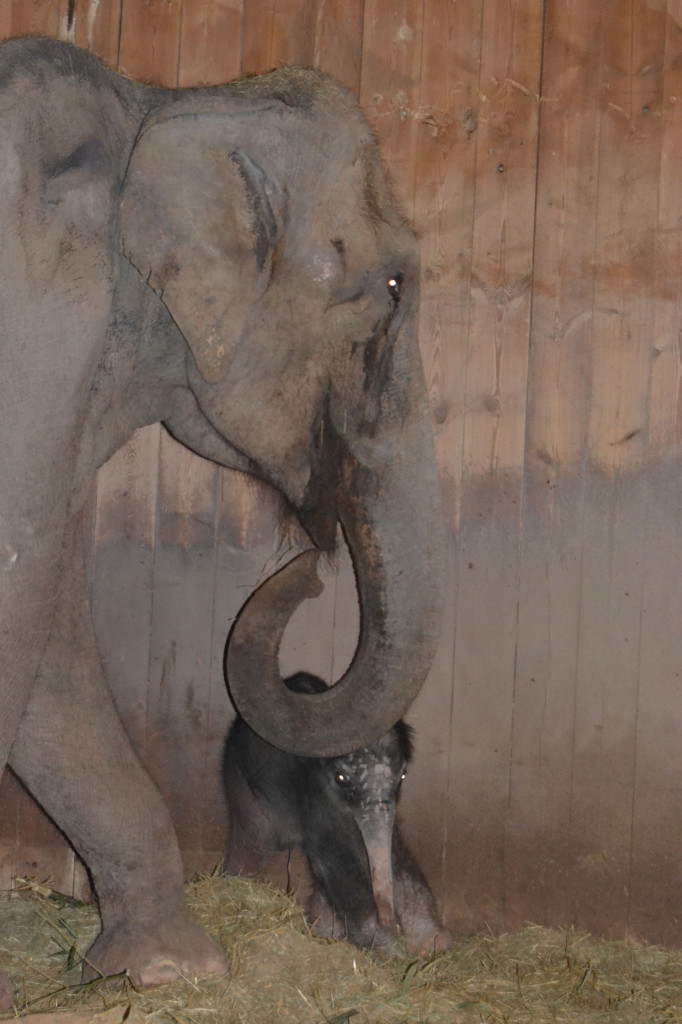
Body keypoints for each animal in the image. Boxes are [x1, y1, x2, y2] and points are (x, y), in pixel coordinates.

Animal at [220, 675, 448, 954]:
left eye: (403, 775)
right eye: (340, 778)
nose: (388, 919)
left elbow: (393, 850)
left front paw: (433, 944)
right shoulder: (313, 794)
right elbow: (337, 860)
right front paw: (389, 950)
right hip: (238, 778)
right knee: (251, 842)